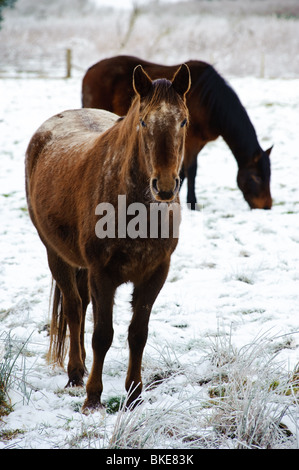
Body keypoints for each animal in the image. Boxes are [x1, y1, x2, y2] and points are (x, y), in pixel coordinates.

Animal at [24, 63, 191, 412]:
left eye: (183, 120)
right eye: (143, 121)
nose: (164, 187)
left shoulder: (156, 273)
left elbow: (138, 333)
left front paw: (135, 393)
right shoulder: (103, 274)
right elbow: (102, 334)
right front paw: (93, 397)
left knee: (82, 305)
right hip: (56, 254)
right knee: (74, 308)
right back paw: (76, 373)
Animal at [82, 54, 274, 209]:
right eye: (256, 177)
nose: (266, 206)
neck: (210, 102)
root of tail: (90, 70)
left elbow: (182, 172)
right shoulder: (191, 141)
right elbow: (191, 170)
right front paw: (192, 203)